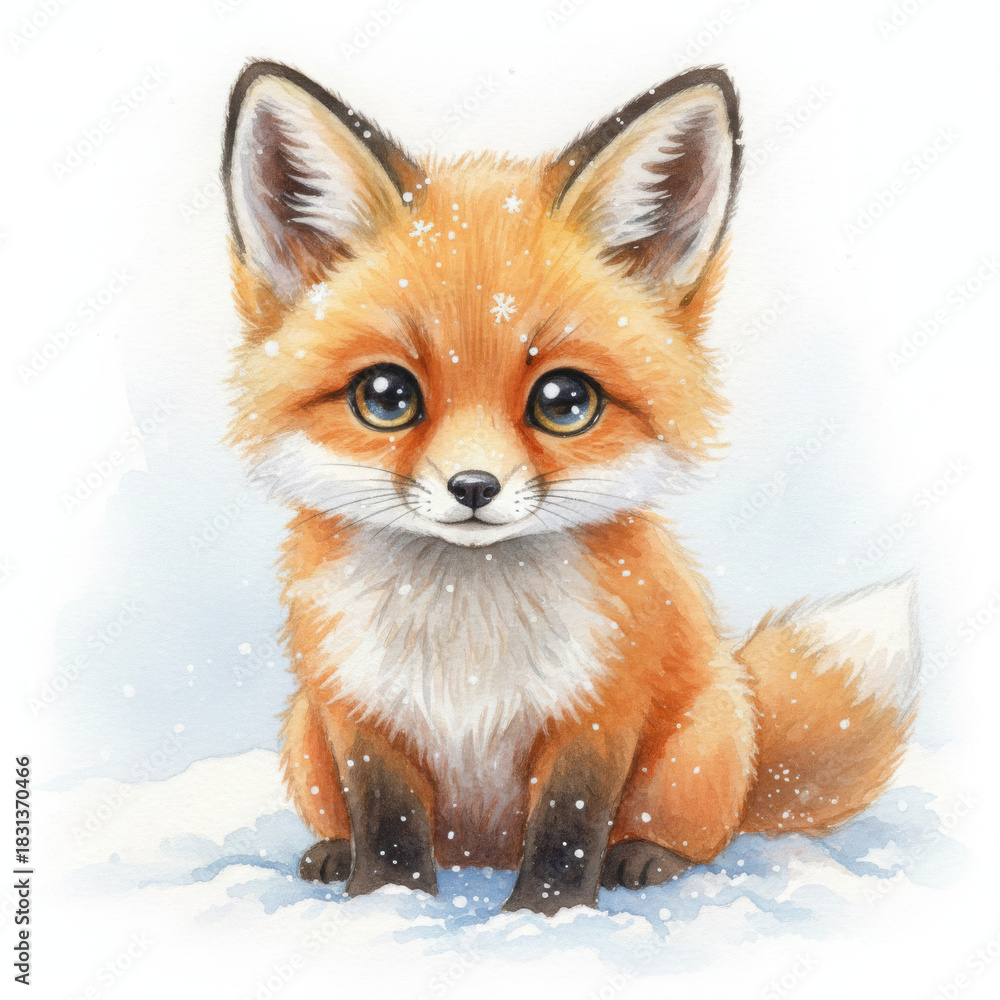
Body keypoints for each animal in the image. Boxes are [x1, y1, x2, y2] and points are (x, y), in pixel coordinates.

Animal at [221, 60, 920, 915]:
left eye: (564, 401)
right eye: (386, 397)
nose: (474, 486)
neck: (467, 632)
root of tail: (479, 851)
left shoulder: (599, 711)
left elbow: (567, 828)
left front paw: (543, 918)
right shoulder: (357, 709)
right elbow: (386, 823)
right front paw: (389, 907)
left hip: (700, 750)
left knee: (699, 836)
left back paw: (646, 859)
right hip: (302, 735)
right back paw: (331, 853)